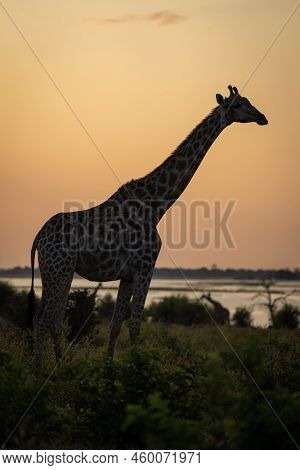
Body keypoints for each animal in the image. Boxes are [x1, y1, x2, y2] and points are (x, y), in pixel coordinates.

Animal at [27, 87, 268, 368]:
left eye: (249, 101)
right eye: (238, 105)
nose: (262, 117)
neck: (156, 207)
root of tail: (38, 238)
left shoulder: (128, 275)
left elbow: (115, 326)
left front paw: (110, 369)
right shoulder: (146, 267)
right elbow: (135, 326)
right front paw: (137, 367)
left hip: (57, 270)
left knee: (51, 318)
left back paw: (59, 366)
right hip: (59, 269)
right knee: (43, 318)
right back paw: (42, 370)